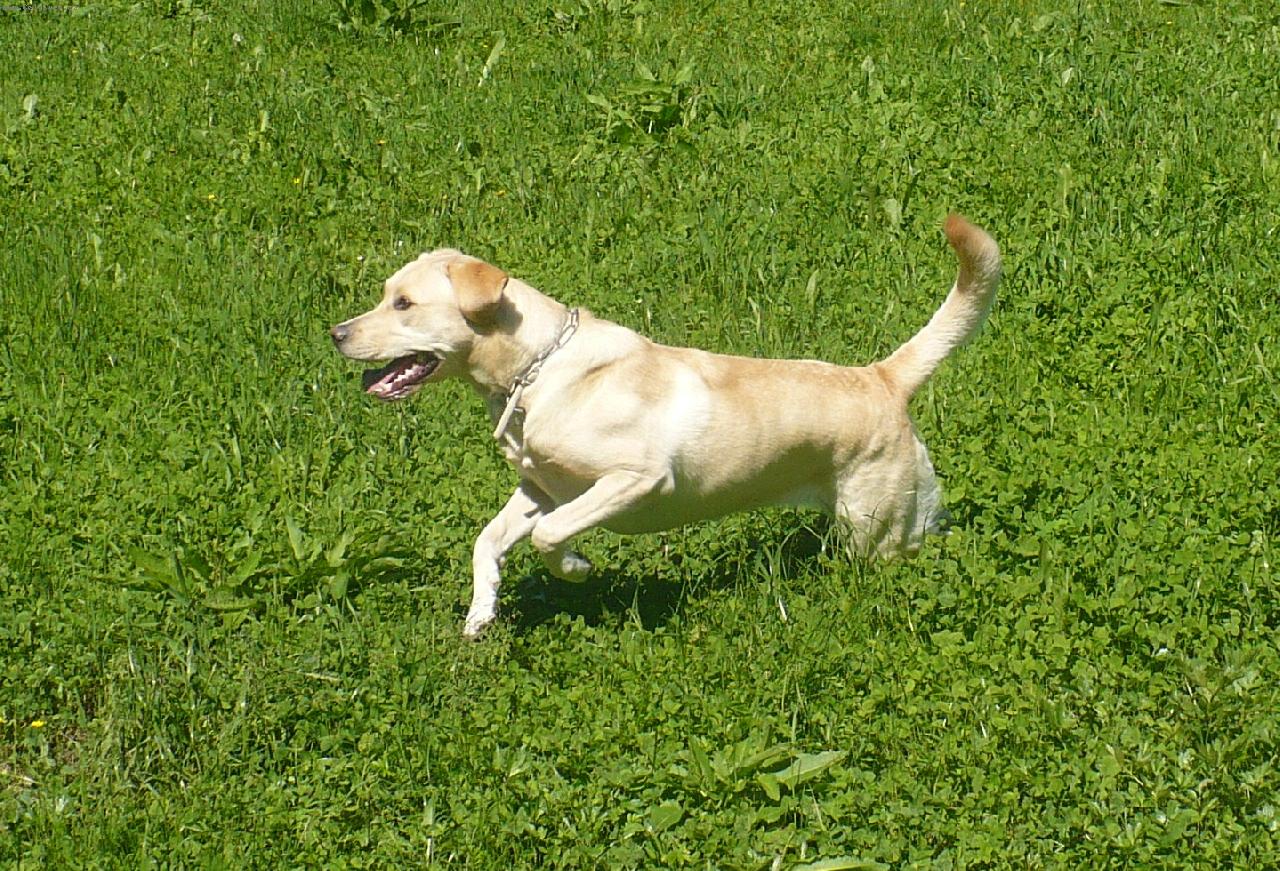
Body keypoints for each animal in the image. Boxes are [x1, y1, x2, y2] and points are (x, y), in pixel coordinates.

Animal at [331, 215, 1000, 636]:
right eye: (386, 294)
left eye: (404, 305)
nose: (335, 333)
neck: (538, 369)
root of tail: (881, 378)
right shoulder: (539, 488)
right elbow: (486, 542)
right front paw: (481, 614)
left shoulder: (635, 479)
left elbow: (550, 536)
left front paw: (577, 569)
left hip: (873, 526)